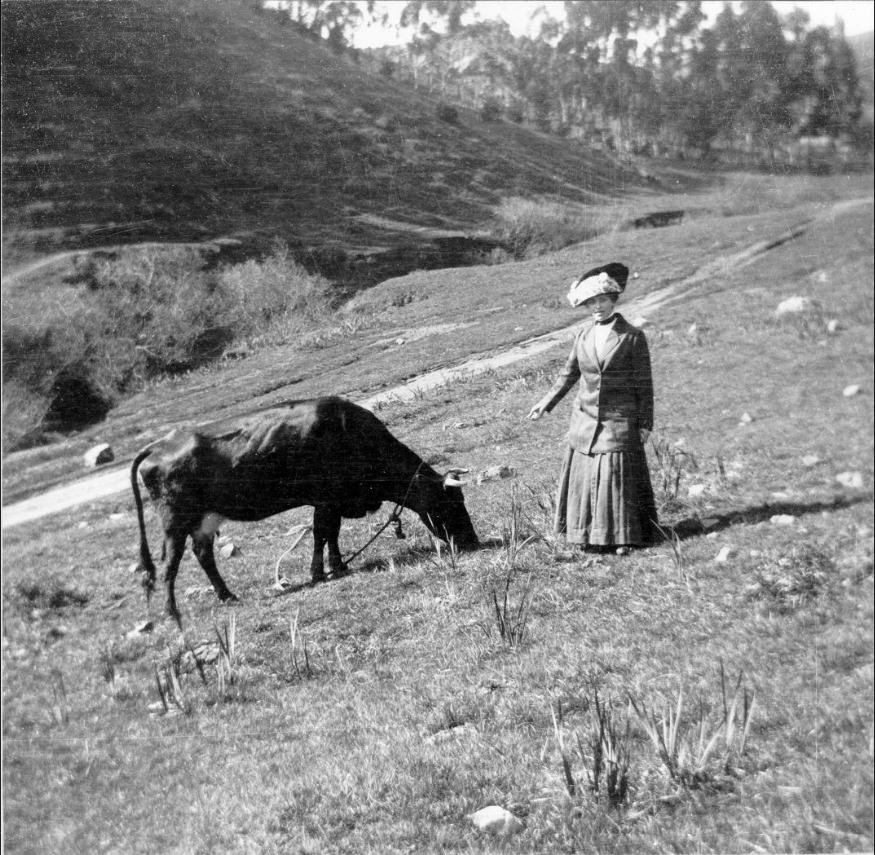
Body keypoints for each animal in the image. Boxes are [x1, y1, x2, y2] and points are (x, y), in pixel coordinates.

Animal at [130, 398, 480, 624]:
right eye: (452, 504)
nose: (472, 542)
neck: (351, 435)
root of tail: (161, 444)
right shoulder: (326, 499)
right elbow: (323, 534)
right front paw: (320, 572)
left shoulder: (333, 501)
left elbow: (331, 535)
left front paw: (337, 566)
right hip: (174, 520)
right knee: (170, 563)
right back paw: (172, 612)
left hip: (204, 518)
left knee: (203, 554)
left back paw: (227, 595)